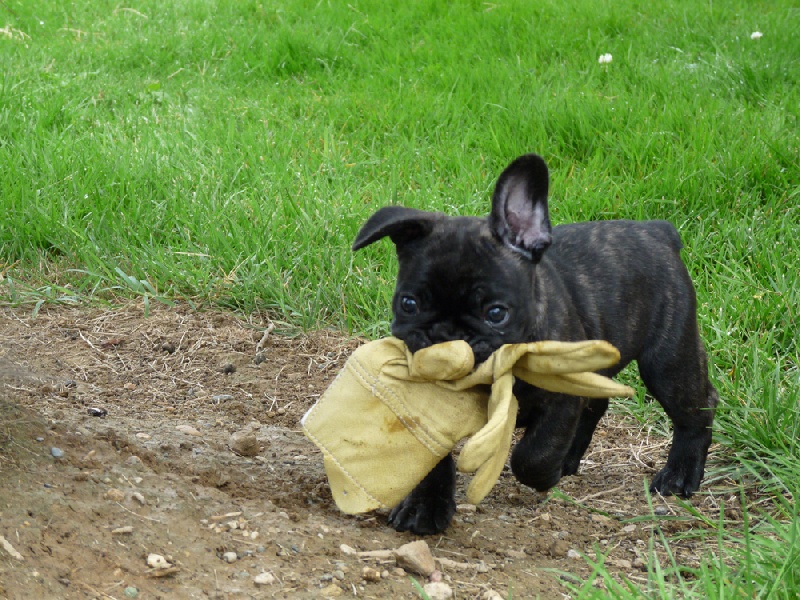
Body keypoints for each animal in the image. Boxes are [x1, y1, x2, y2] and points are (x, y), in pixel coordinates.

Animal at [354, 154, 716, 536]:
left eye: (496, 313)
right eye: (408, 304)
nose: (444, 337)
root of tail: (657, 230)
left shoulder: (562, 400)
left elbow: (533, 454)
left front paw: (545, 474)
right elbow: (432, 461)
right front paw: (424, 507)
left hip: (667, 360)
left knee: (695, 409)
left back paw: (679, 476)